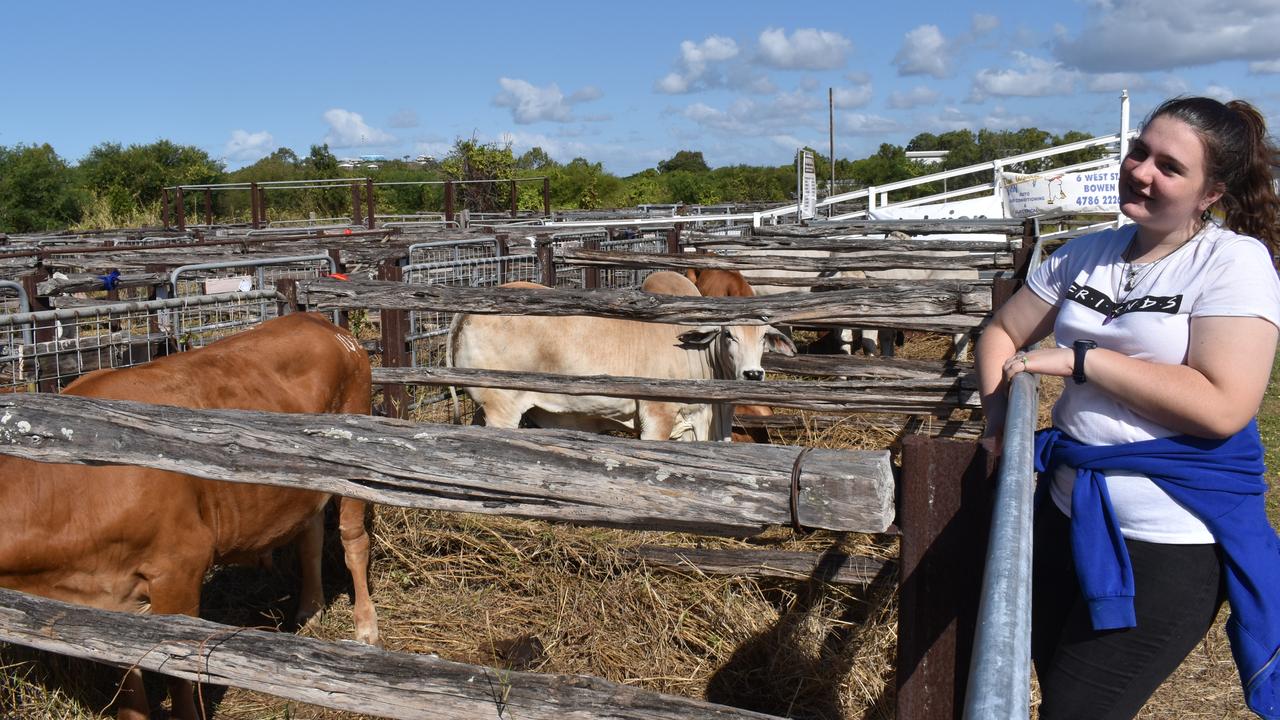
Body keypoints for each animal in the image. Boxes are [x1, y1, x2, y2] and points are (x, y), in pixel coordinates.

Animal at [0, 312, 378, 717]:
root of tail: (316, 319)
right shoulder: (111, 601)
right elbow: (129, 681)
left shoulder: (180, 567)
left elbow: (177, 674)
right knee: (310, 539)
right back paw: (309, 611)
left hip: (356, 463)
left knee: (353, 540)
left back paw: (365, 627)